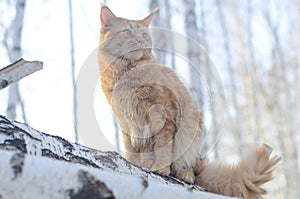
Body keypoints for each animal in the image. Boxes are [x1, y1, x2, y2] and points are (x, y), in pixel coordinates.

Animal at [99, 5, 282, 198]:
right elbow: (133, 150)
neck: (127, 72)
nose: (141, 41)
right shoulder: (128, 122)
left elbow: (162, 147)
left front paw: (159, 169)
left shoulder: (164, 115)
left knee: (193, 168)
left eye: (144, 35)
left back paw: (185, 174)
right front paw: (136, 165)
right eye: (127, 32)